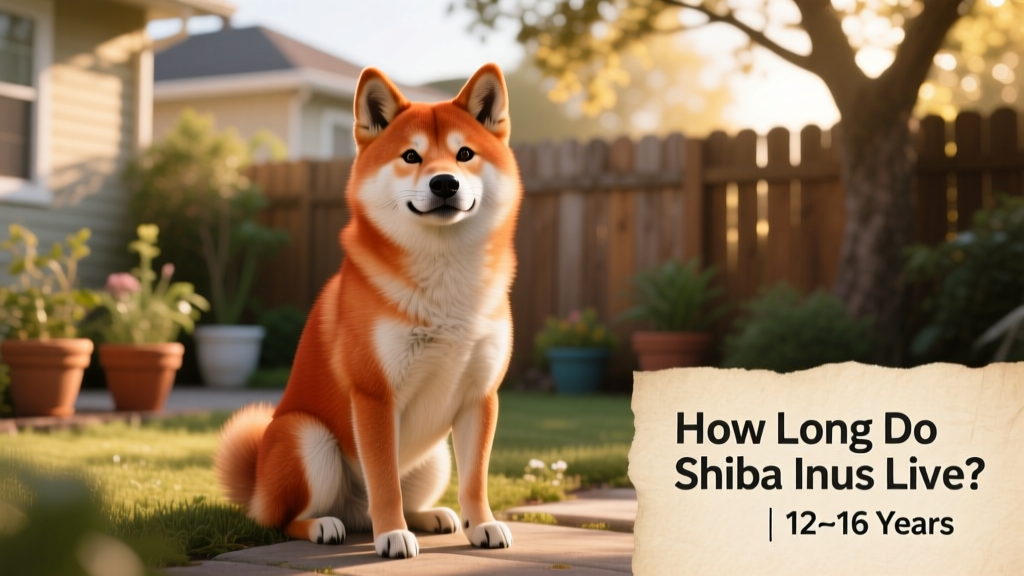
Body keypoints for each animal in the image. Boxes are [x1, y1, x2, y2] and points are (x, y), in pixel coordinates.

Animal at [213, 63, 520, 559]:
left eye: (465, 154)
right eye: (411, 156)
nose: (444, 182)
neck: (444, 279)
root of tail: (258, 486)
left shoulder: (480, 395)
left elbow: (475, 478)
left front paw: (484, 524)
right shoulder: (375, 394)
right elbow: (384, 479)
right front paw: (392, 534)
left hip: (434, 459)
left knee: (398, 497)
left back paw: (431, 517)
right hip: (307, 438)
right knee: (286, 520)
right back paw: (326, 525)